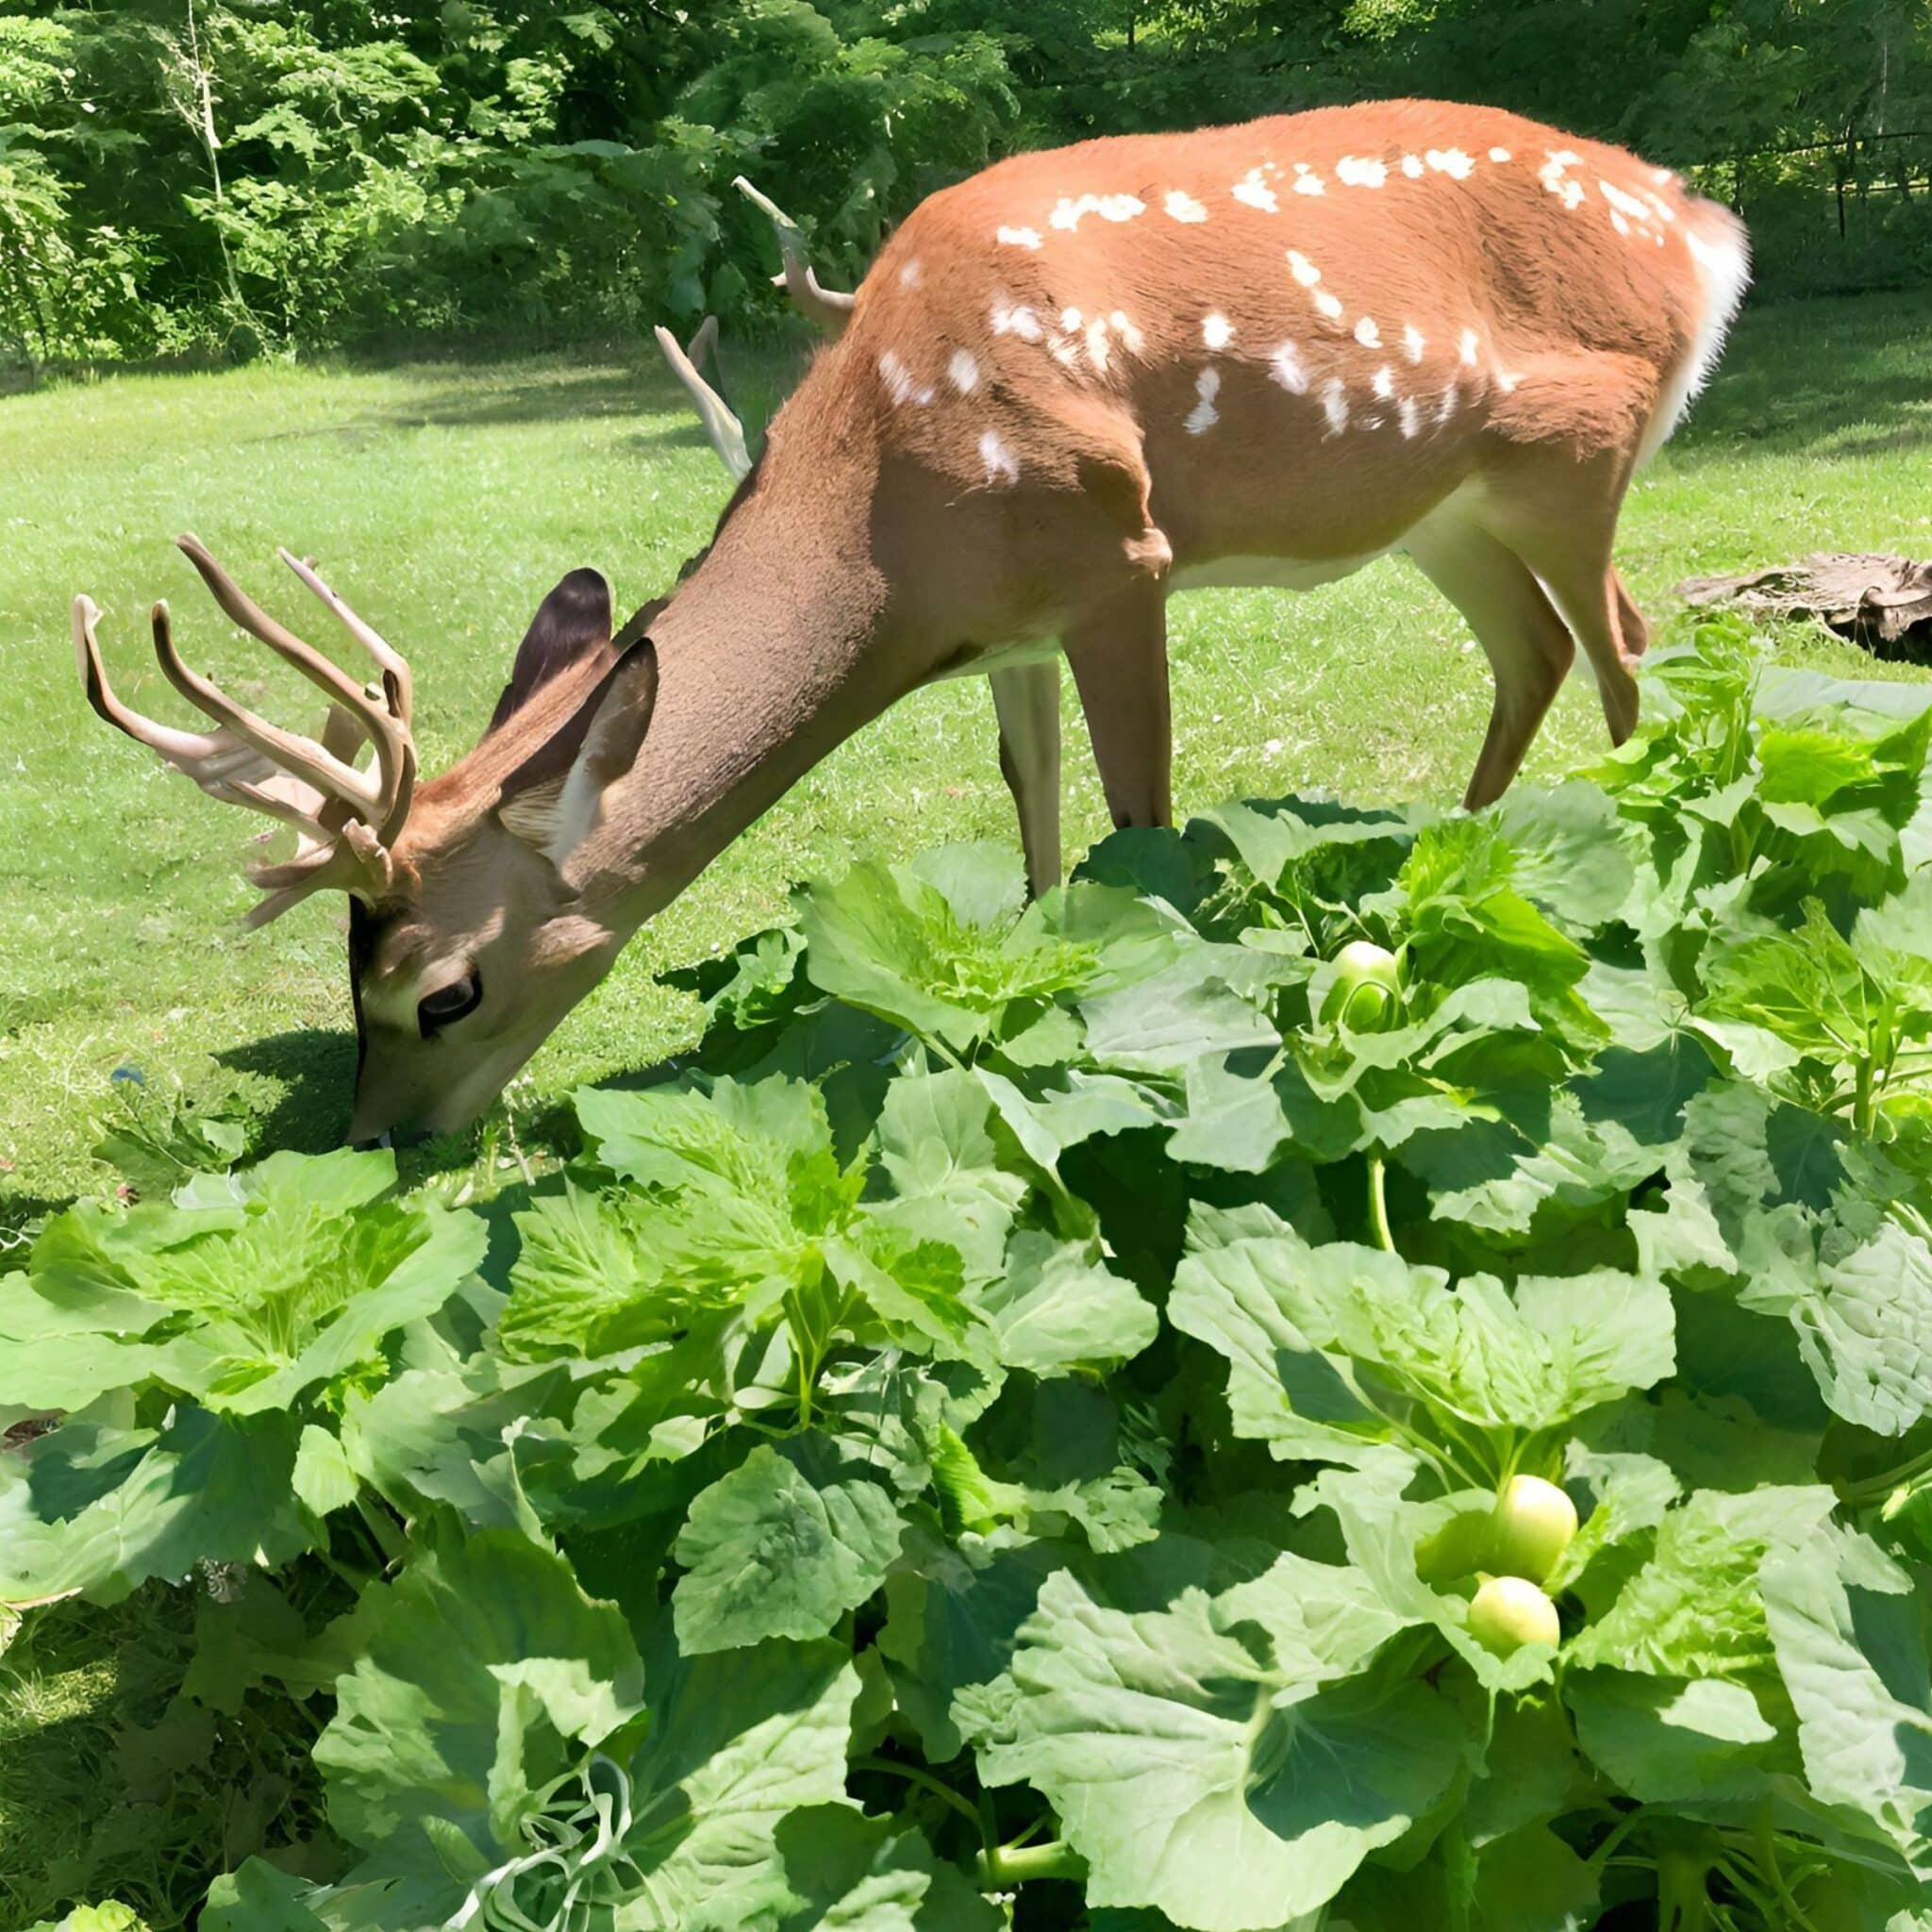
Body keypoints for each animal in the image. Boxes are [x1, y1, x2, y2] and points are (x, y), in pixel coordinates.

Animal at [71, 97, 1754, 1136]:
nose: (378, 1145)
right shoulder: (1011, 627)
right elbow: (1036, 821)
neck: (891, 514)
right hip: (1442, 514)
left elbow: (1140, 820)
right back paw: (1437, 882)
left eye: (439, 992)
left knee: (1626, 648)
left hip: (1578, 455)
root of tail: (1705, 224)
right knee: (1538, 650)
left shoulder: (1117, 548)